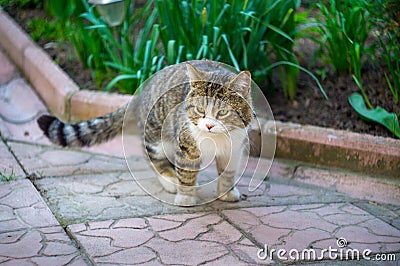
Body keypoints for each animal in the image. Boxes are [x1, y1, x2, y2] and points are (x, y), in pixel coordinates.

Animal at [39, 59, 255, 206]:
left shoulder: (235, 147)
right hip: (157, 136)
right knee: (154, 158)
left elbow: (228, 172)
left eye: (223, 112)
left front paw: (227, 192)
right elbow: (186, 171)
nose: (209, 126)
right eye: (200, 110)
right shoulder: (186, 145)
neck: (215, 139)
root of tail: (140, 93)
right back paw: (170, 180)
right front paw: (186, 197)